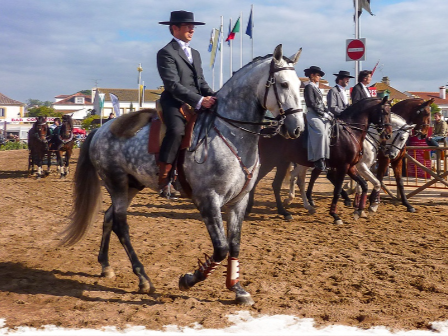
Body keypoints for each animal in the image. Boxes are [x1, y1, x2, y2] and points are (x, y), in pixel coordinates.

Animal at [59, 44, 304, 304]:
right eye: (283, 84)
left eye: (299, 85)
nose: (297, 128)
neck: (230, 133)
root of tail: (100, 129)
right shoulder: (208, 199)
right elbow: (221, 248)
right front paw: (189, 280)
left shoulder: (239, 200)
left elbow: (235, 245)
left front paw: (237, 289)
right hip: (116, 184)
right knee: (120, 224)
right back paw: (143, 278)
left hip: (131, 186)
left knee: (108, 218)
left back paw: (106, 266)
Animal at [247, 96, 390, 224]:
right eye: (385, 112)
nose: (388, 134)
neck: (350, 132)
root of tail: (265, 131)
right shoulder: (344, 166)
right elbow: (337, 190)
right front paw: (335, 215)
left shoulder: (351, 167)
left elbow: (365, 185)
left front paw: (359, 211)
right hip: (270, 162)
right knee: (266, 182)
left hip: (283, 163)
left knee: (279, 183)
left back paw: (283, 211)